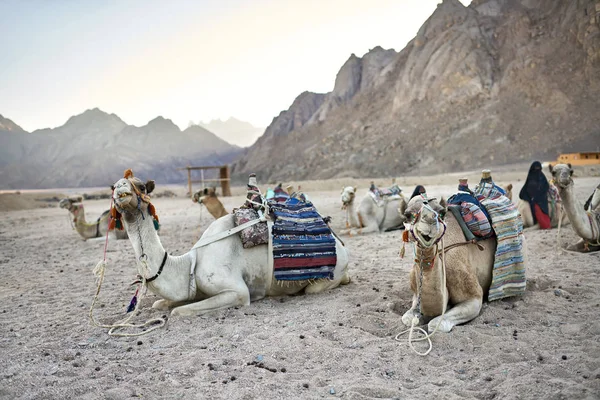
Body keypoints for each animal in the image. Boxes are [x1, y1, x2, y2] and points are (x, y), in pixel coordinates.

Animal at [111, 170, 352, 318]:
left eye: (141, 187)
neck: (190, 263)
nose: (121, 190)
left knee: (315, 287)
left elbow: (179, 311)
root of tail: (340, 244)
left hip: (330, 273)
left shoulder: (237, 291)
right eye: (113, 186)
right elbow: (160, 304)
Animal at [404, 195, 524, 332]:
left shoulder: (473, 295)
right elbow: (407, 318)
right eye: (408, 215)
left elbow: (437, 324)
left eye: (441, 212)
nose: (429, 219)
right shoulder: (415, 293)